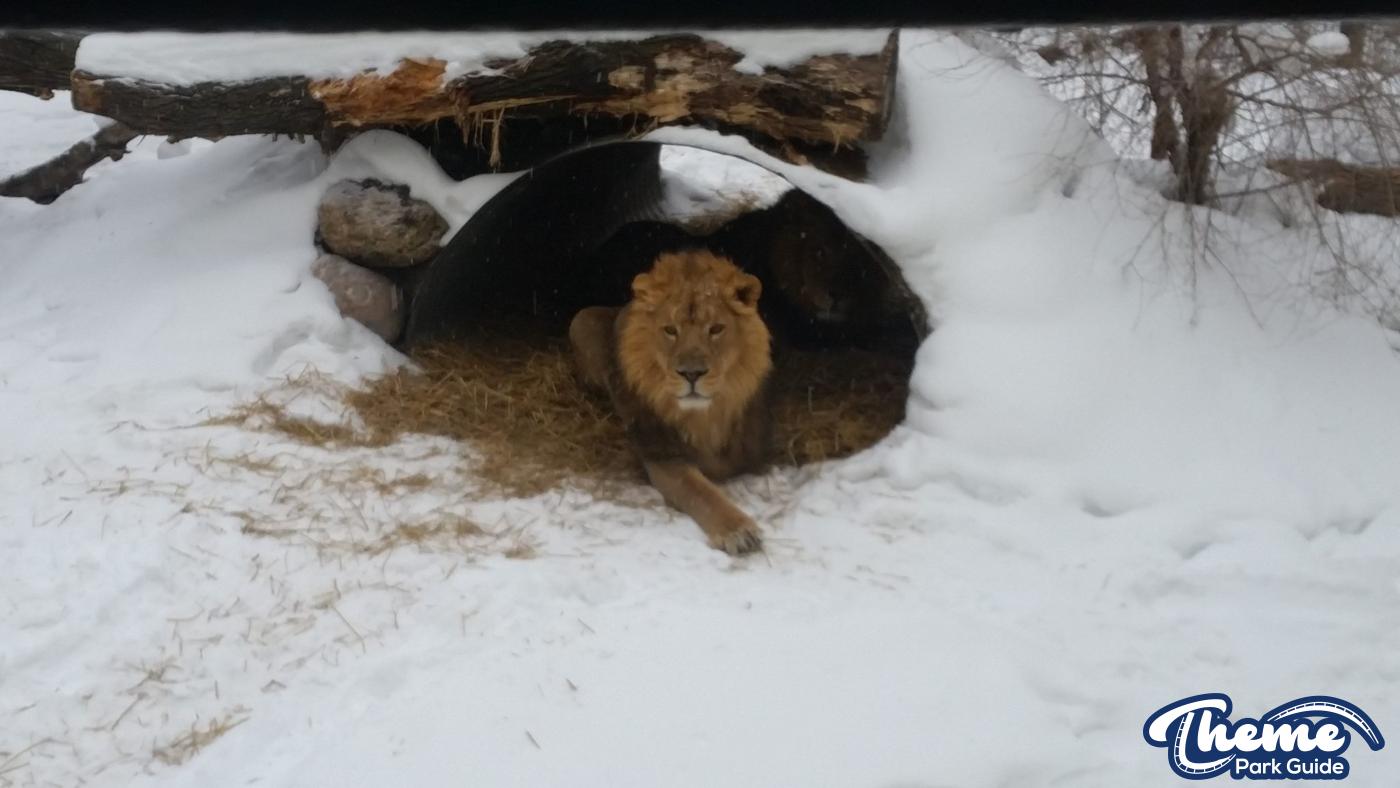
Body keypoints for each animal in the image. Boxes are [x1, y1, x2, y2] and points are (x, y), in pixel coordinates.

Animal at [568, 249, 773, 555]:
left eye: (716, 329)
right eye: (670, 330)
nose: (692, 373)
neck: (703, 416)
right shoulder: (662, 455)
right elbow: (701, 492)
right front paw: (738, 531)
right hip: (581, 320)